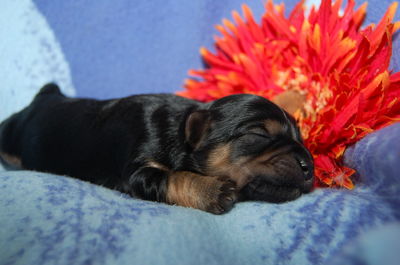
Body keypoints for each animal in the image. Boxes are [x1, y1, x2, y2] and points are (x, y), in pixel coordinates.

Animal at [0, 83, 312, 213]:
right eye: (258, 133)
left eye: (301, 138)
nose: (310, 167)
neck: (181, 129)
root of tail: (44, 95)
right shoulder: (139, 170)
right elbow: (173, 177)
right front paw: (211, 190)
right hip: (11, 133)